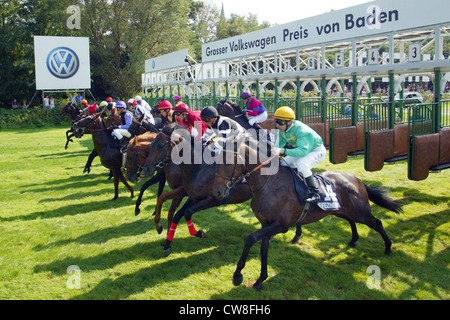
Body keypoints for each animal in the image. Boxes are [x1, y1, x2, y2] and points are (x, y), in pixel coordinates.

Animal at [142, 123, 253, 258]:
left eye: (161, 146)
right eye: (151, 144)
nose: (146, 169)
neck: (200, 168)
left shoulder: (213, 199)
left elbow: (185, 212)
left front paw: (199, 233)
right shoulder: (192, 195)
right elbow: (173, 209)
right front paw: (164, 237)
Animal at [213, 135, 402, 290]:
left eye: (227, 163)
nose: (218, 192)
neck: (268, 183)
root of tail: (356, 180)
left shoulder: (280, 225)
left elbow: (250, 239)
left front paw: (237, 275)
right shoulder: (266, 224)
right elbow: (263, 249)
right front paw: (260, 279)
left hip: (360, 211)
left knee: (377, 223)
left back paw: (388, 247)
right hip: (339, 210)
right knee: (350, 220)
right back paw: (354, 240)